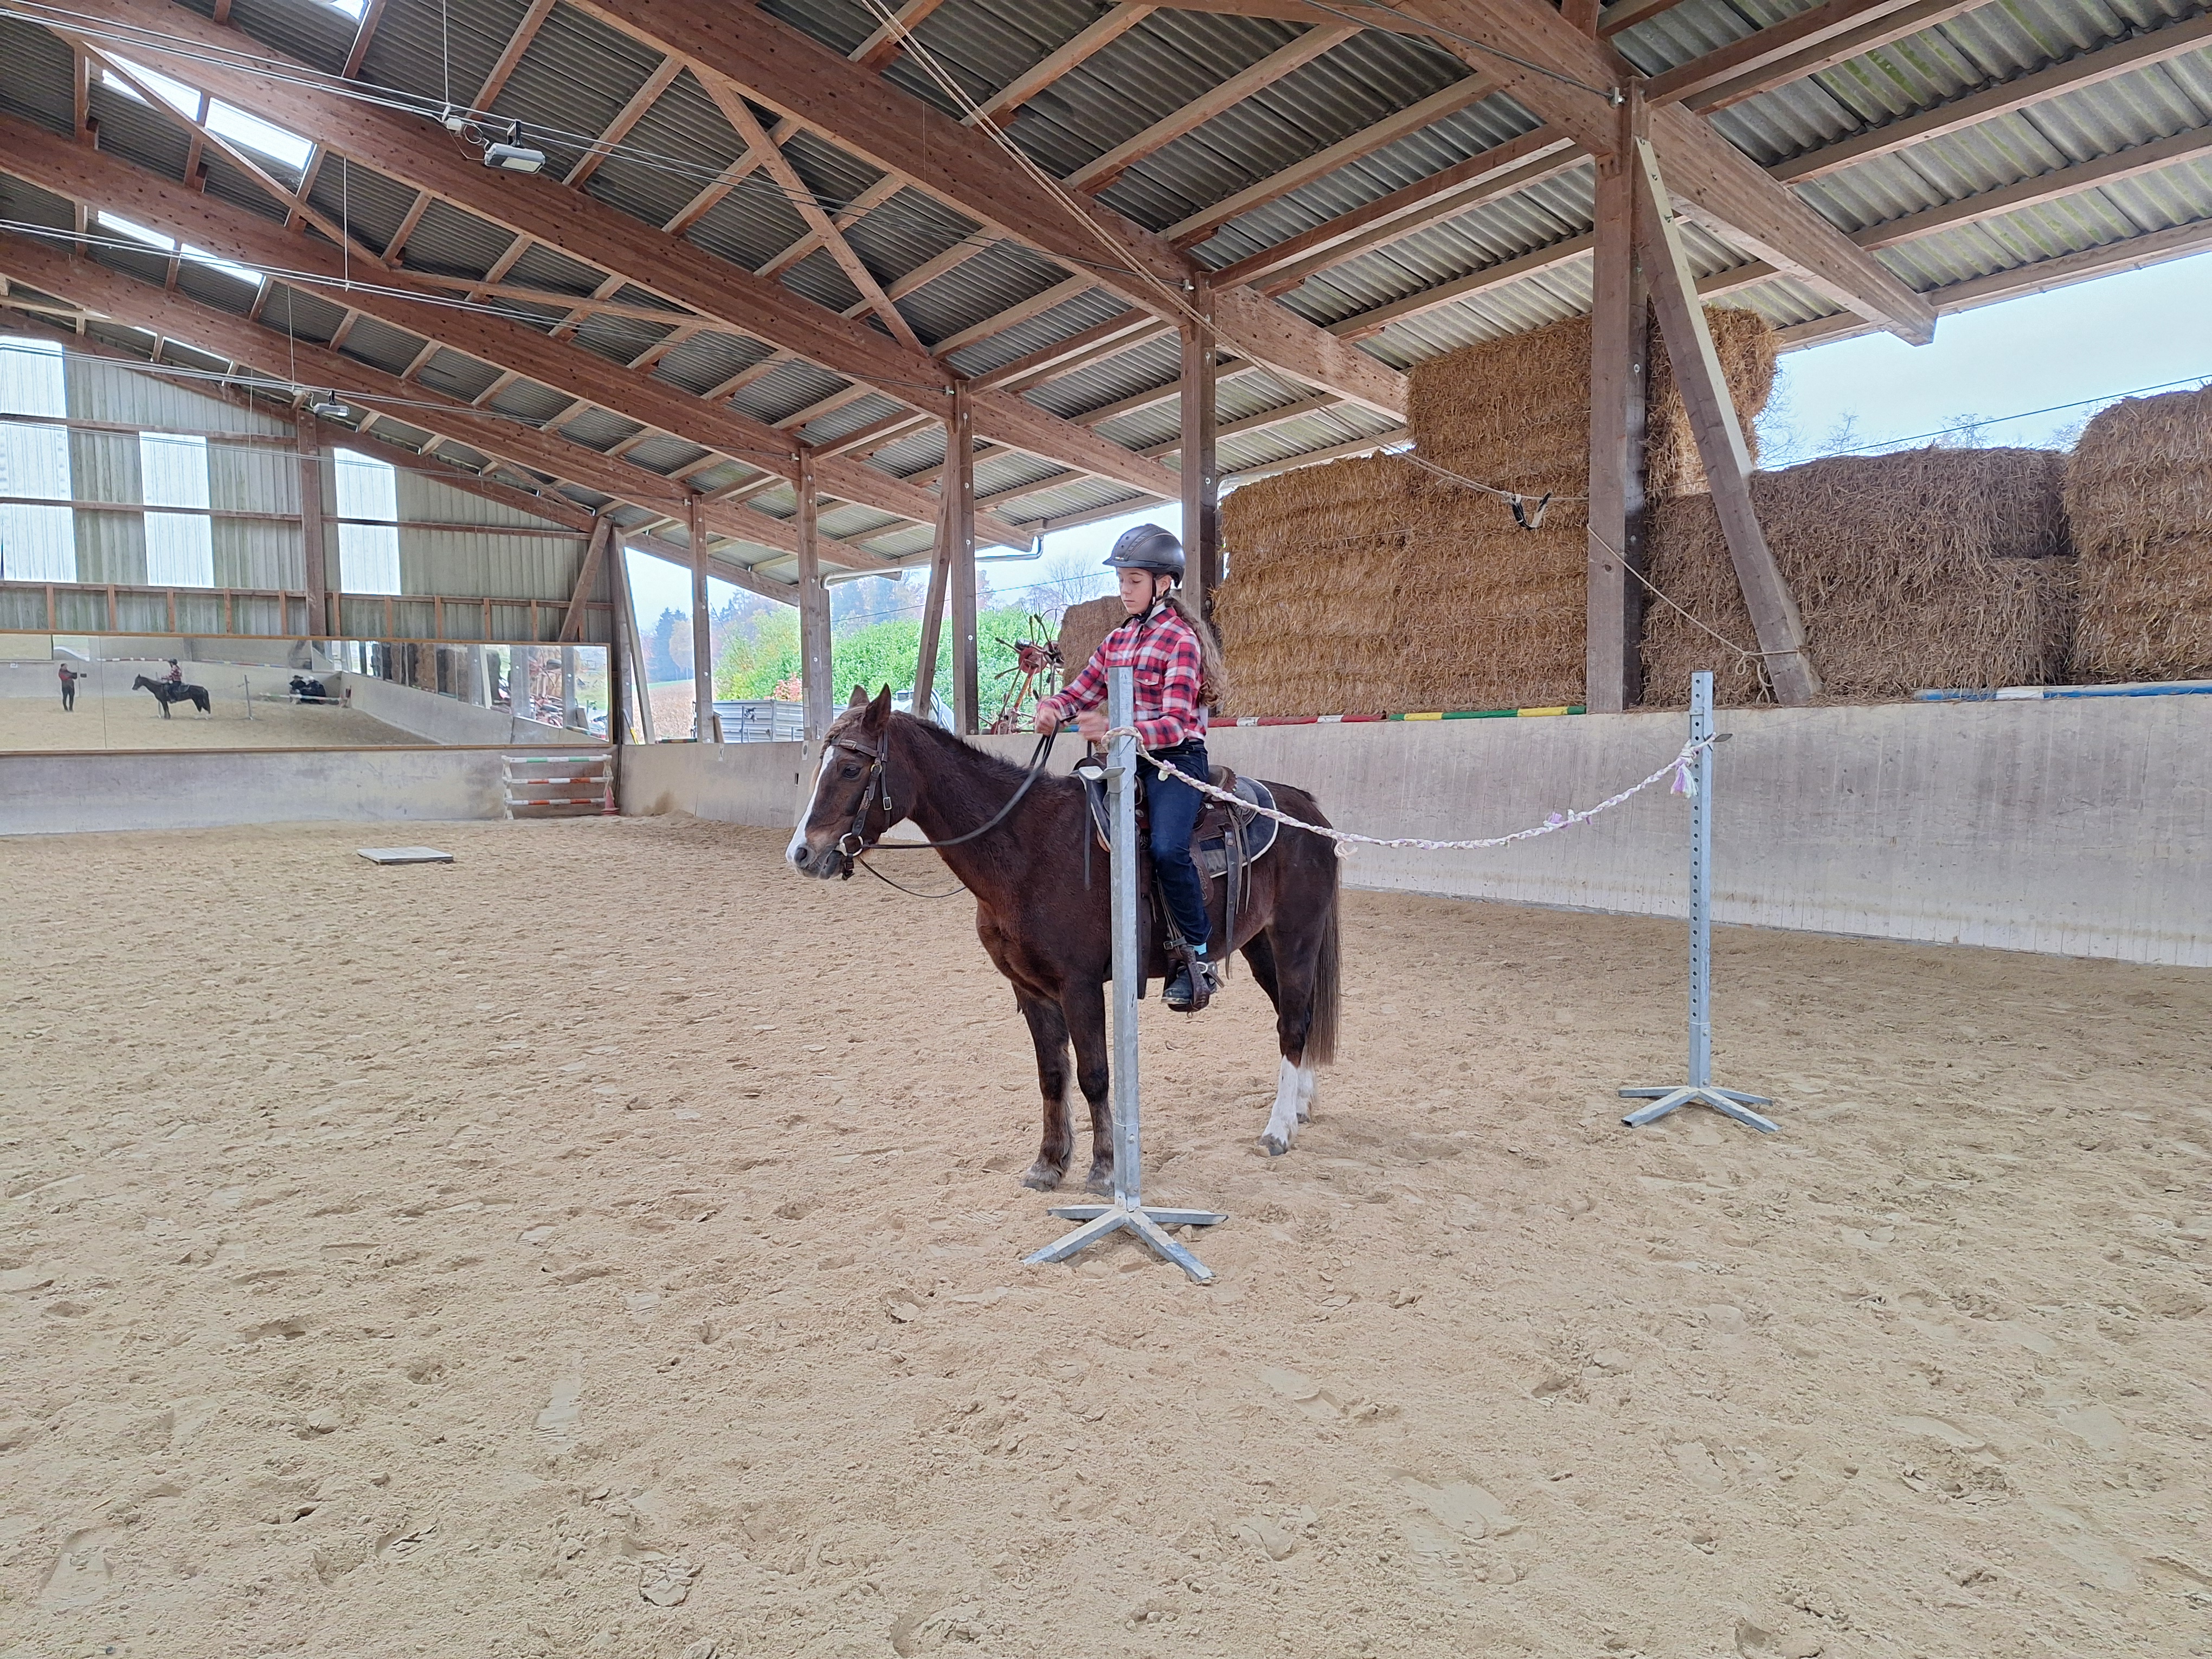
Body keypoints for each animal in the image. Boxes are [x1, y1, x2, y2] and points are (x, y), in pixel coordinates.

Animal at [132, 674, 211, 716]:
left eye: (137, 681)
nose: (134, 688)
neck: (159, 688)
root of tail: (203, 689)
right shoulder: (164, 701)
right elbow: (167, 708)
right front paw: (168, 717)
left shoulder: (163, 701)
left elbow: (165, 708)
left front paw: (166, 717)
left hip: (200, 700)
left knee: (207, 708)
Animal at [788, 686, 1340, 1190]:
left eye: (851, 770)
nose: (801, 854)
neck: (1027, 848)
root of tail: (1308, 809)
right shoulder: (1030, 988)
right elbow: (1052, 1074)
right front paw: (1049, 1164)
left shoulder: (1080, 986)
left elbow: (1095, 1074)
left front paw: (1105, 1168)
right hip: (1259, 945)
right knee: (1298, 1017)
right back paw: (1301, 1106)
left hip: (1295, 939)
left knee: (1293, 1024)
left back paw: (1277, 1131)